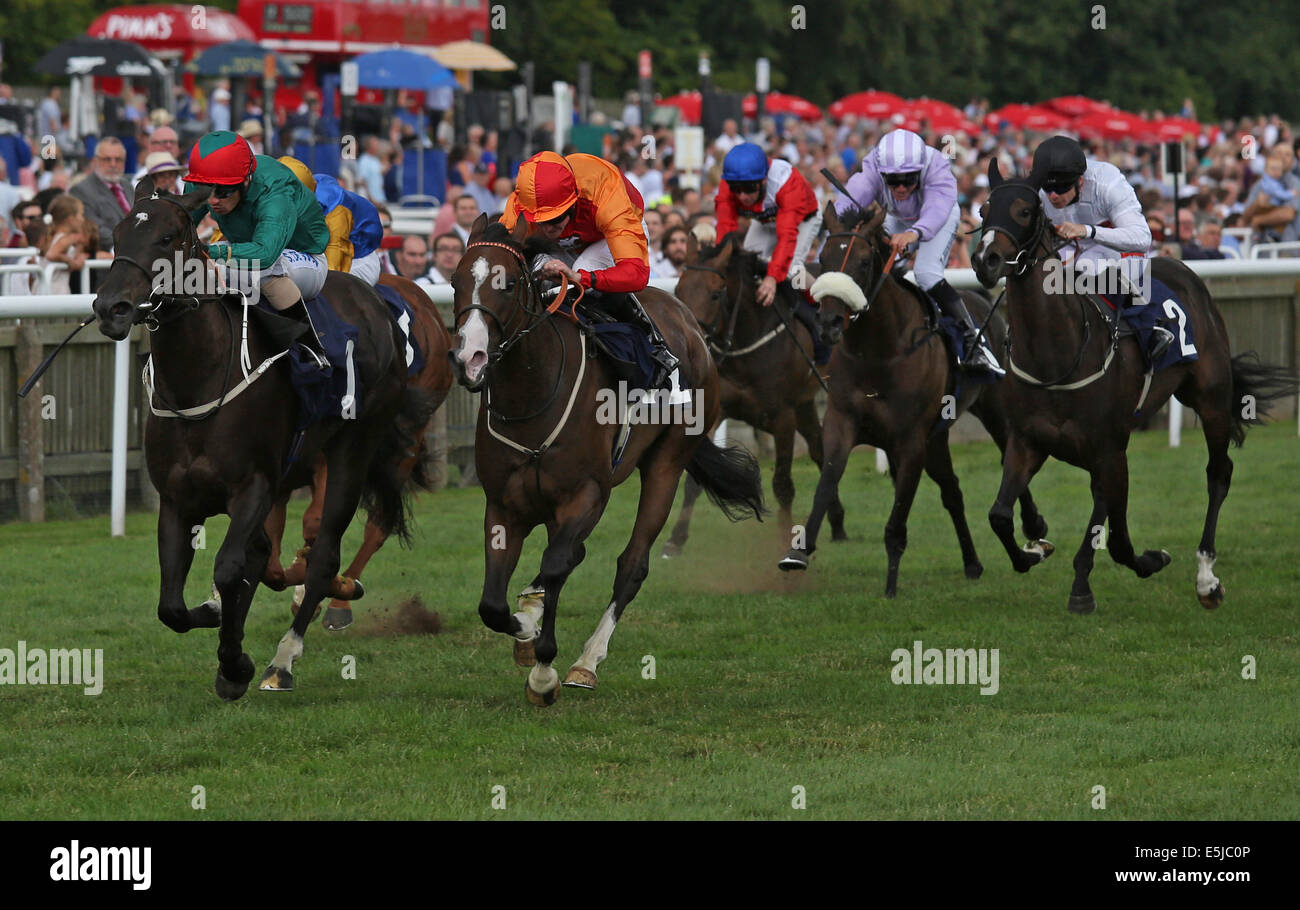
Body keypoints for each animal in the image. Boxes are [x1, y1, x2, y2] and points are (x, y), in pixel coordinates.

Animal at [261, 270, 454, 629]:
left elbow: (314, 522)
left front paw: (315, 581)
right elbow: (272, 546)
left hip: (405, 438)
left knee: (378, 524)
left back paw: (340, 598)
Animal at [452, 217, 764, 707]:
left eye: (508, 284)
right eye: (455, 281)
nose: (470, 358)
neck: (533, 395)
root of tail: (689, 324)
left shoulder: (585, 496)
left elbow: (557, 564)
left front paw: (544, 668)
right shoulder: (503, 505)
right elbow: (492, 604)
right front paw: (527, 629)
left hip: (666, 463)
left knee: (631, 564)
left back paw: (586, 662)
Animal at [665, 227, 847, 553]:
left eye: (716, 293)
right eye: (679, 289)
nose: (690, 342)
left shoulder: (783, 416)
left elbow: (783, 485)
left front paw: (785, 537)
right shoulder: (717, 410)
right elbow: (694, 482)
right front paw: (676, 539)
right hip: (804, 402)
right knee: (818, 448)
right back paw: (837, 522)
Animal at [780, 200, 1045, 598]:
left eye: (863, 262)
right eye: (823, 258)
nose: (828, 324)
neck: (878, 351)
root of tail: (982, 299)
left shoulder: (909, 441)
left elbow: (898, 517)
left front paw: (891, 585)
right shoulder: (843, 424)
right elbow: (826, 484)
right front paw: (799, 551)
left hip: (993, 410)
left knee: (1007, 456)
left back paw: (1033, 529)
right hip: (938, 436)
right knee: (953, 491)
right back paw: (972, 563)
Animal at [972, 162, 1294, 616]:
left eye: (1024, 210)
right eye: (983, 210)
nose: (985, 259)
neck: (1056, 354)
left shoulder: (1109, 450)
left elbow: (1117, 539)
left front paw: (1139, 565)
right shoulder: (1029, 441)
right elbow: (999, 515)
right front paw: (1033, 552)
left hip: (1210, 400)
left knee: (1218, 474)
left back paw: (1206, 578)